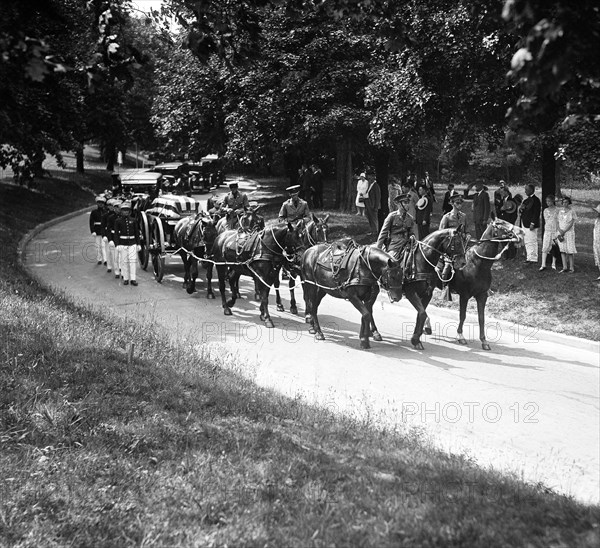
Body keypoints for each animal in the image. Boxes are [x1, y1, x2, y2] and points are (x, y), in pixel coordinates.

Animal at [434, 218, 524, 352]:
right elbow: (463, 315)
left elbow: (481, 318)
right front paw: (461, 336)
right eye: (501, 224)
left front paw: (484, 341)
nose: (522, 232)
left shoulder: (482, 296)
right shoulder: (464, 295)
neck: (478, 263)